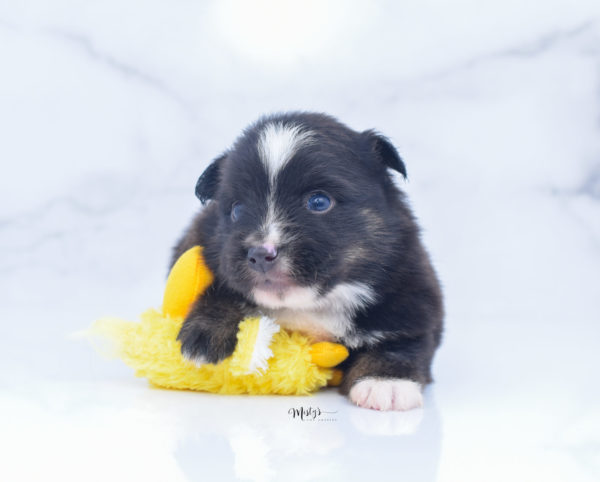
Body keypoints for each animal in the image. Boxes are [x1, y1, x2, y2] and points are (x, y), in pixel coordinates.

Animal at [171, 112, 442, 410]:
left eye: (319, 202)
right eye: (237, 210)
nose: (260, 253)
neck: (313, 305)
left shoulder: (412, 297)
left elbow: (401, 343)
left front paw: (385, 383)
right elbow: (225, 287)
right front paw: (205, 333)